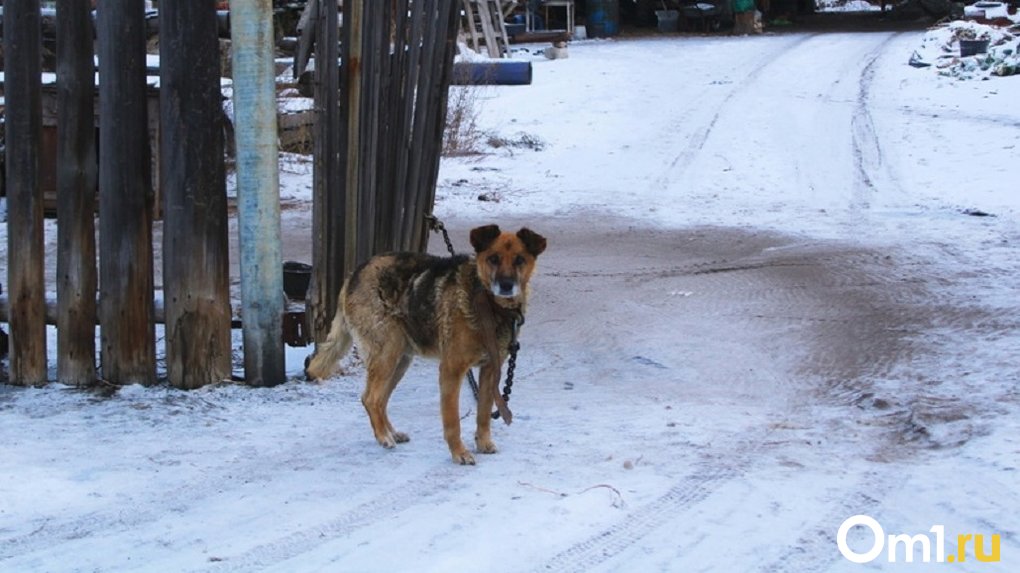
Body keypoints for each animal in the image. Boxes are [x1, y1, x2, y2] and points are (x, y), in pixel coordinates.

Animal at [301, 223, 546, 464]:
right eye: (493, 258)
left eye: (519, 260)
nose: (506, 285)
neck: (489, 304)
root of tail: (355, 273)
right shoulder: (452, 369)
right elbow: (452, 420)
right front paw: (459, 453)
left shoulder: (490, 370)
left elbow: (484, 413)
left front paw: (483, 443)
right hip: (387, 353)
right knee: (370, 398)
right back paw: (383, 437)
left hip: (400, 360)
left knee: (379, 400)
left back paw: (391, 432)